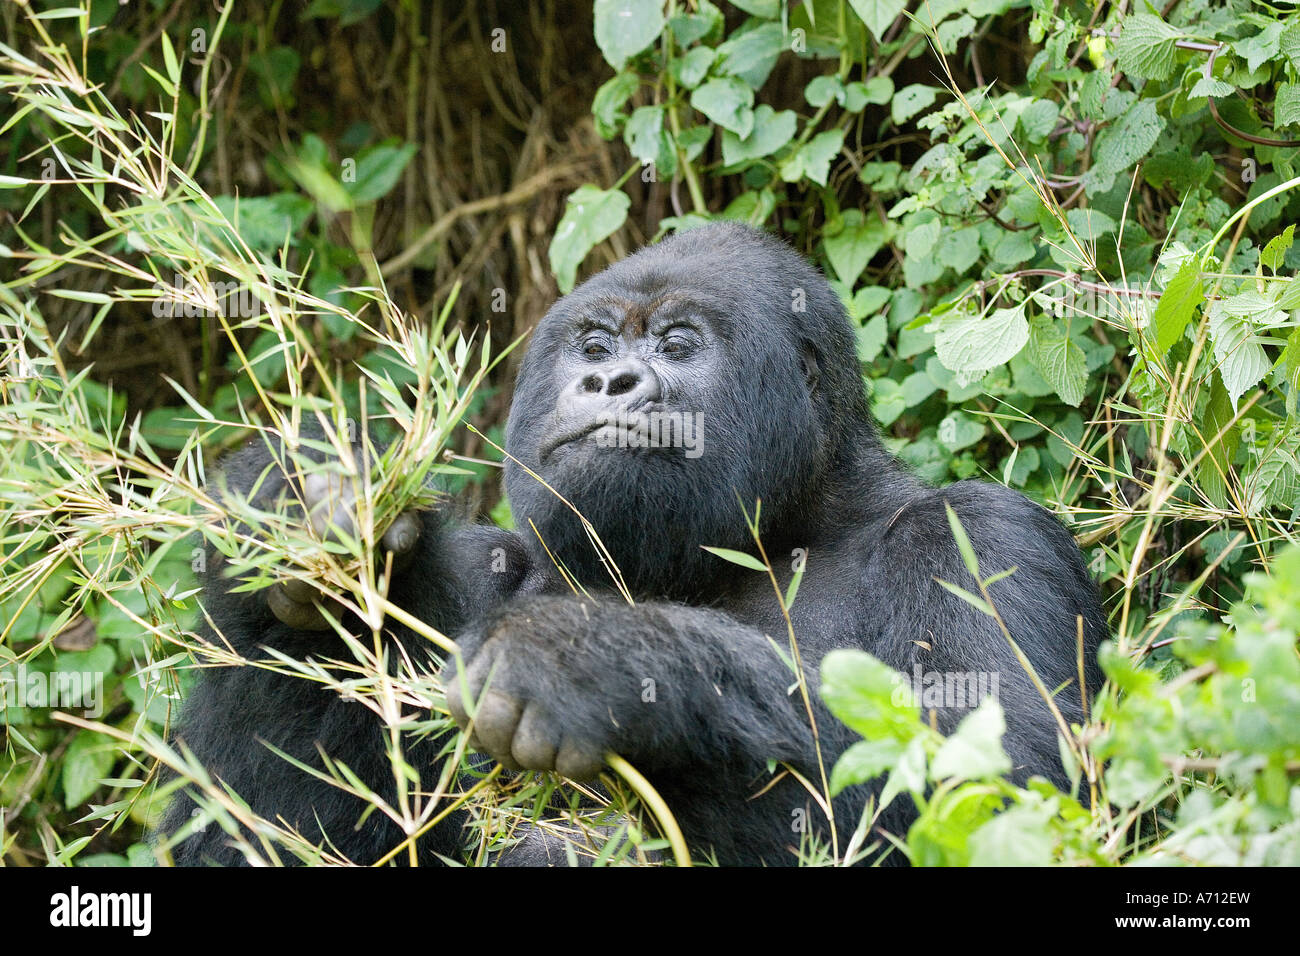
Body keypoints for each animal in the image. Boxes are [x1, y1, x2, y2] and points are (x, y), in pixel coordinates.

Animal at [157, 222, 1102, 868]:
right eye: (595, 343)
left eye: (678, 344)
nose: (608, 380)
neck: (785, 530)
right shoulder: (489, 568)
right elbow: (265, 834)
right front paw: (297, 524)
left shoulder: (980, 535)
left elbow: (1006, 793)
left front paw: (599, 664)